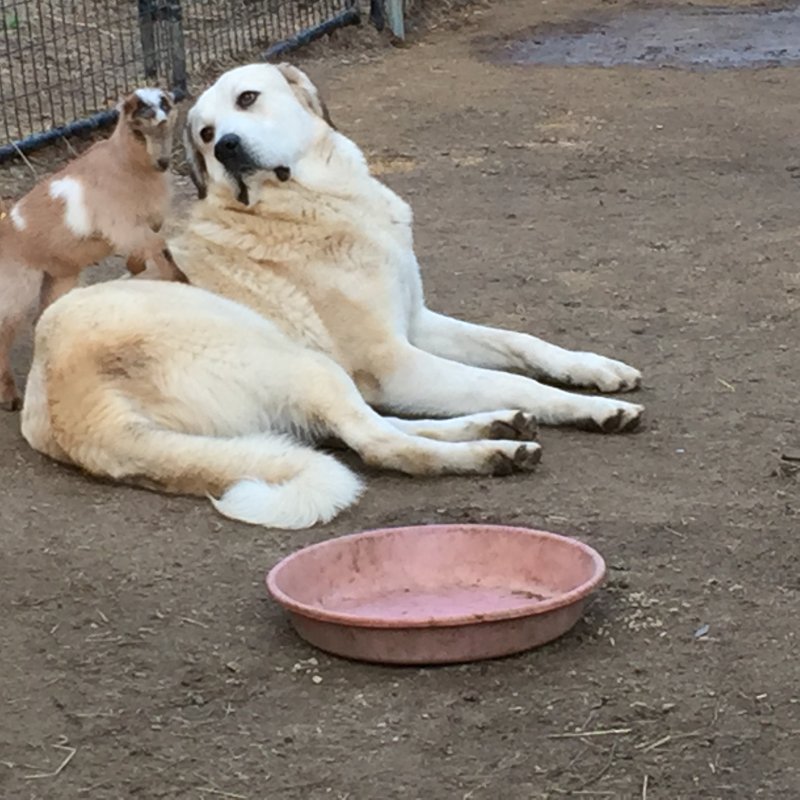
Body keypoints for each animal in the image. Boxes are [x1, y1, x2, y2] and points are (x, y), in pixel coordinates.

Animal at [18, 61, 644, 524]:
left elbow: (522, 343)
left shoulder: (418, 325)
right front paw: (596, 409)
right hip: (298, 359)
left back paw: (496, 426)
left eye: (247, 99)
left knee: (362, 429)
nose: (226, 147)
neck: (311, 202)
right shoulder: (396, 363)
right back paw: (492, 452)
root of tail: (75, 412)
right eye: (205, 134)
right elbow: (515, 379)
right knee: (378, 443)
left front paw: (597, 370)